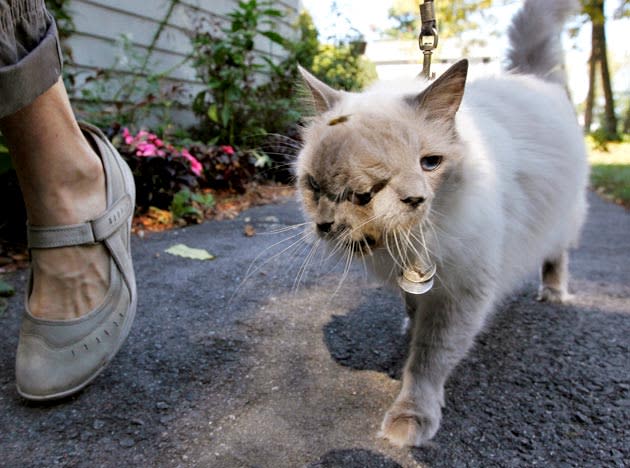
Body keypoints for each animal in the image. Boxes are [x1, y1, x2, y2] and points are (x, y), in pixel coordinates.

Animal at [294, 0, 592, 448]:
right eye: (331, 184)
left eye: (429, 163)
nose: (413, 199)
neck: (408, 242)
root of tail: (530, 76)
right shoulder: (420, 278)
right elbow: (412, 307)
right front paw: (408, 324)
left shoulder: (462, 291)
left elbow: (429, 360)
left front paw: (410, 418)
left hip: (563, 216)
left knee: (557, 254)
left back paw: (554, 293)